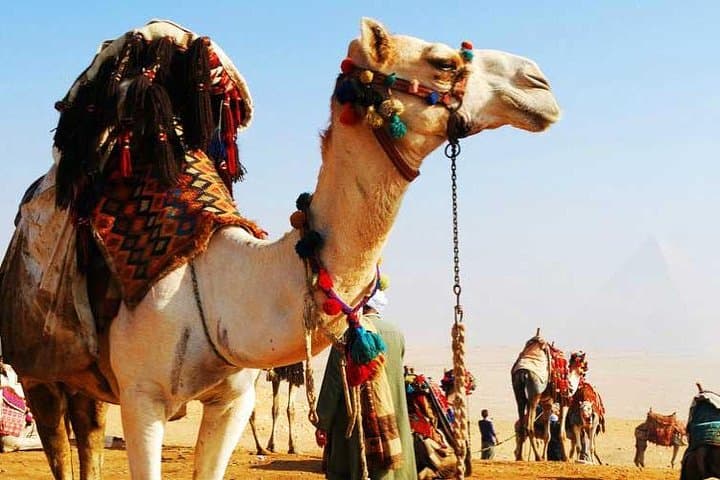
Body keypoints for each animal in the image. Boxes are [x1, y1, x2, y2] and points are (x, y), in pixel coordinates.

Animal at [0, 18, 560, 480]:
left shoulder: (230, 402)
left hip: (85, 379)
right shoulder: (143, 400)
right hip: (36, 371)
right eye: (442, 61)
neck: (221, 286)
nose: (539, 83)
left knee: (88, 432)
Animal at [511, 330, 587, 461]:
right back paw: (537, 457)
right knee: (529, 426)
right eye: (583, 364)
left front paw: (544, 456)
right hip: (534, 391)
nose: (585, 370)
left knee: (521, 423)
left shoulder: (547, 402)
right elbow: (561, 433)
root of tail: (523, 372)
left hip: (518, 390)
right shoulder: (564, 401)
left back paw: (521, 457)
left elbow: (548, 434)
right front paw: (566, 458)